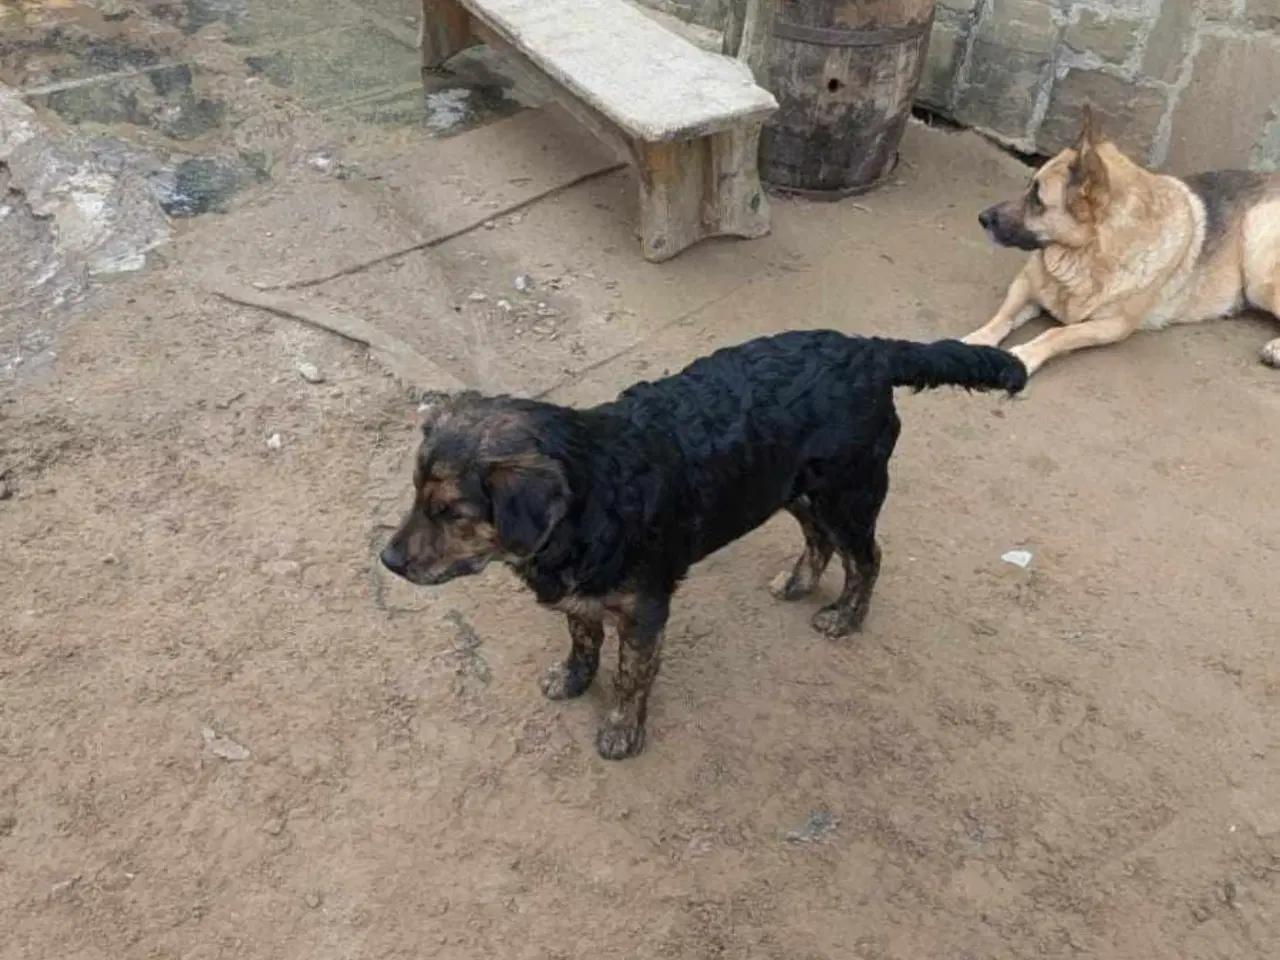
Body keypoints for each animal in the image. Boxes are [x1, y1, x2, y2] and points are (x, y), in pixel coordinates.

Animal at [373, 330, 1024, 757]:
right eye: (415, 495)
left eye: (451, 512)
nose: (388, 560)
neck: (596, 490)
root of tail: (870, 349)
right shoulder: (583, 593)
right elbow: (583, 640)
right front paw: (573, 679)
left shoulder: (644, 613)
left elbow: (631, 677)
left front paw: (621, 732)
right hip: (790, 488)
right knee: (819, 539)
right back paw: (799, 583)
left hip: (847, 494)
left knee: (868, 556)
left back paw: (845, 616)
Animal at [962, 104, 1280, 376]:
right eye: (1028, 187)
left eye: (1037, 199)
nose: (982, 218)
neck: (1086, 254)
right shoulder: (1026, 284)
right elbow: (1003, 316)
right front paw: (977, 340)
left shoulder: (1112, 325)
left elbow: (1059, 332)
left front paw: (1023, 356)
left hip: (1259, 269)